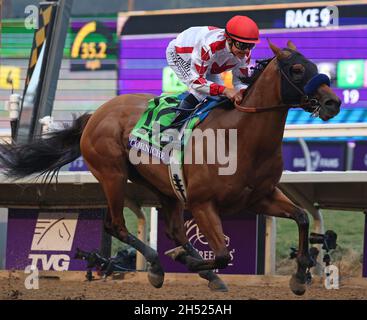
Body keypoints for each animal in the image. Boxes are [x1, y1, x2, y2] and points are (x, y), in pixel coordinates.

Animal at [0, 40, 342, 296]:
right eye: (297, 69)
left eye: (315, 67)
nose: (332, 103)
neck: (241, 138)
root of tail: (96, 113)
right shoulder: (203, 203)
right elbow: (222, 254)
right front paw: (184, 260)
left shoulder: (259, 197)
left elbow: (301, 217)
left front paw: (300, 276)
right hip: (112, 175)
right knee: (116, 225)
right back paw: (157, 266)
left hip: (164, 186)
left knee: (173, 228)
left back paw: (200, 272)